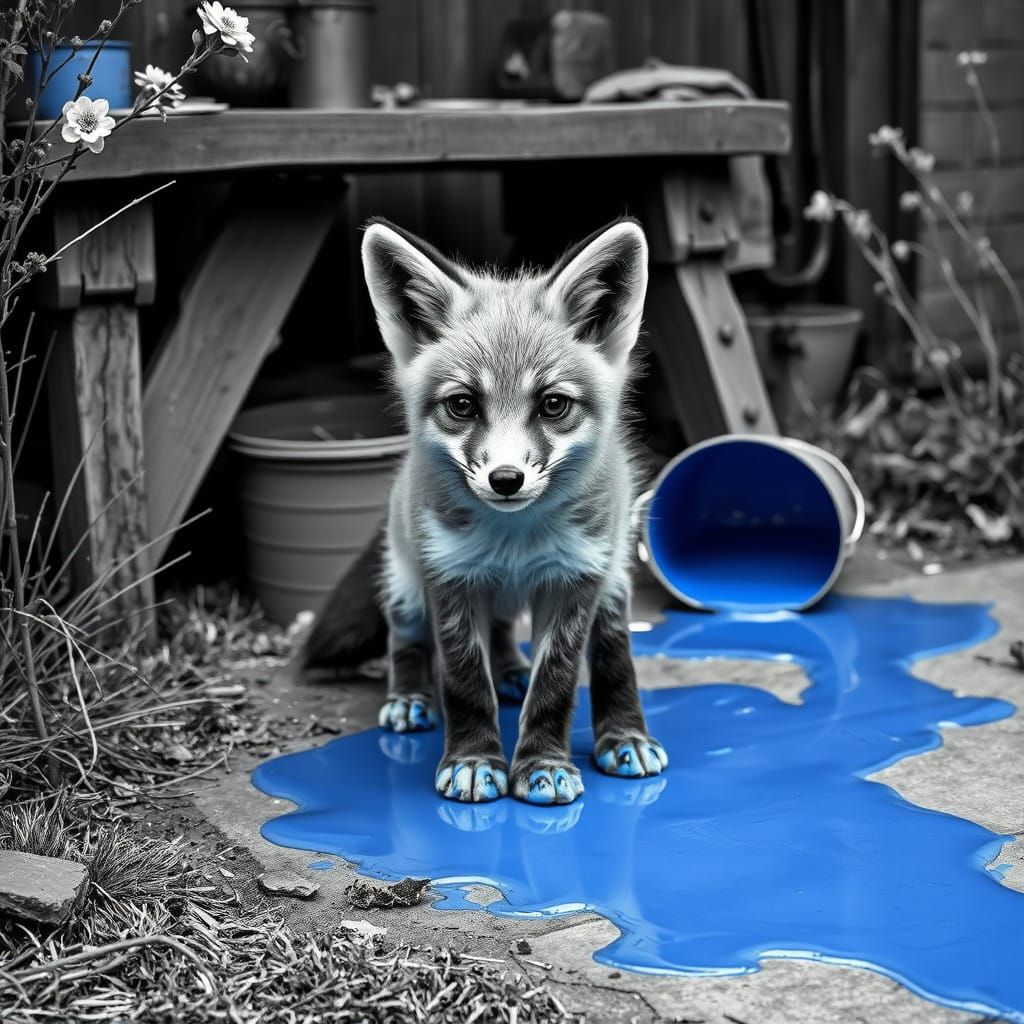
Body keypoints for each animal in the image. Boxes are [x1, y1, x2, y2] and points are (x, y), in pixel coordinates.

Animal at [302, 216, 667, 805]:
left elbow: (557, 684)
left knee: (605, 654)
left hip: (612, 587)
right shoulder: (450, 577)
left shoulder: (576, 580)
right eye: (463, 405)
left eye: (553, 405)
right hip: (407, 588)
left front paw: (543, 765)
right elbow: (465, 681)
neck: (513, 540)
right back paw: (410, 696)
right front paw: (474, 761)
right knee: (407, 641)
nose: (505, 479)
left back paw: (619, 732)